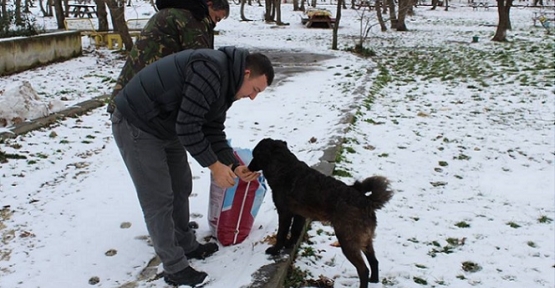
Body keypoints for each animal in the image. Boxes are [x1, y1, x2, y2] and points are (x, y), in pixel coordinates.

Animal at [248, 138, 396, 286]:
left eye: (255, 155)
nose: (249, 167)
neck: (285, 167)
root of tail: (366, 201)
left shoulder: (285, 213)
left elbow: (281, 234)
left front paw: (275, 250)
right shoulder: (299, 214)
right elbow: (295, 231)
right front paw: (290, 245)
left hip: (347, 241)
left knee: (363, 269)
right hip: (366, 240)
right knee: (374, 261)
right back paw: (374, 280)